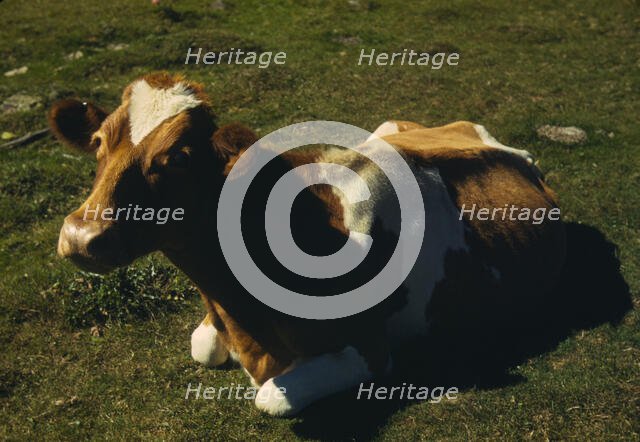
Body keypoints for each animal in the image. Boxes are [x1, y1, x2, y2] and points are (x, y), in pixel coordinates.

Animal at [49, 72, 566, 416]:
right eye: (99, 142)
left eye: (179, 157)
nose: (81, 236)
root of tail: (506, 148)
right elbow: (203, 346)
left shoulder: (369, 351)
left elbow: (271, 398)